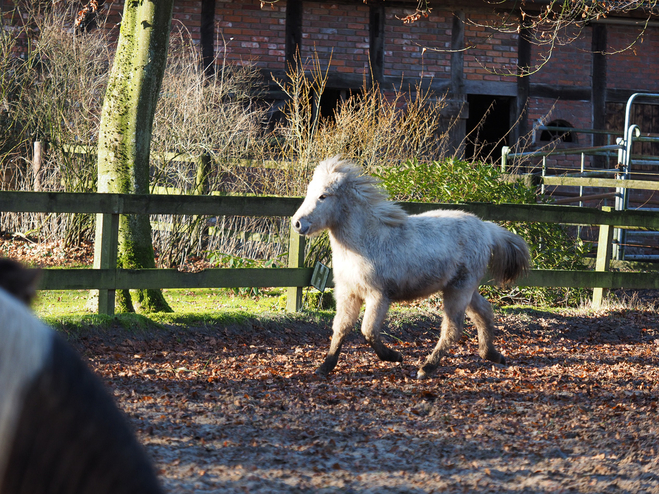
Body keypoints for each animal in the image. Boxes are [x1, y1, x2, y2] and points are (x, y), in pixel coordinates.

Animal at [294, 156, 532, 380]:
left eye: (323, 196)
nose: (297, 223)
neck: (366, 242)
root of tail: (486, 228)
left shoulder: (379, 296)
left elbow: (368, 330)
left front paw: (394, 356)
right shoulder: (349, 294)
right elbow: (340, 329)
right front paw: (325, 367)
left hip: (459, 290)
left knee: (452, 330)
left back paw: (426, 368)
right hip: (464, 288)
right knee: (484, 311)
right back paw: (492, 354)